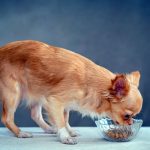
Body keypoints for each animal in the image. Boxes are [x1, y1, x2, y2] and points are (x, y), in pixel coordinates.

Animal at [0, 40, 142, 144]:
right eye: (127, 116)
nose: (131, 123)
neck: (90, 83)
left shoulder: (65, 104)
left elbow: (65, 118)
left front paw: (69, 131)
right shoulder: (55, 101)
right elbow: (61, 121)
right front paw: (65, 136)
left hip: (38, 90)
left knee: (35, 115)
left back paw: (49, 129)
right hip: (14, 93)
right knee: (7, 118)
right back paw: (20, 133)